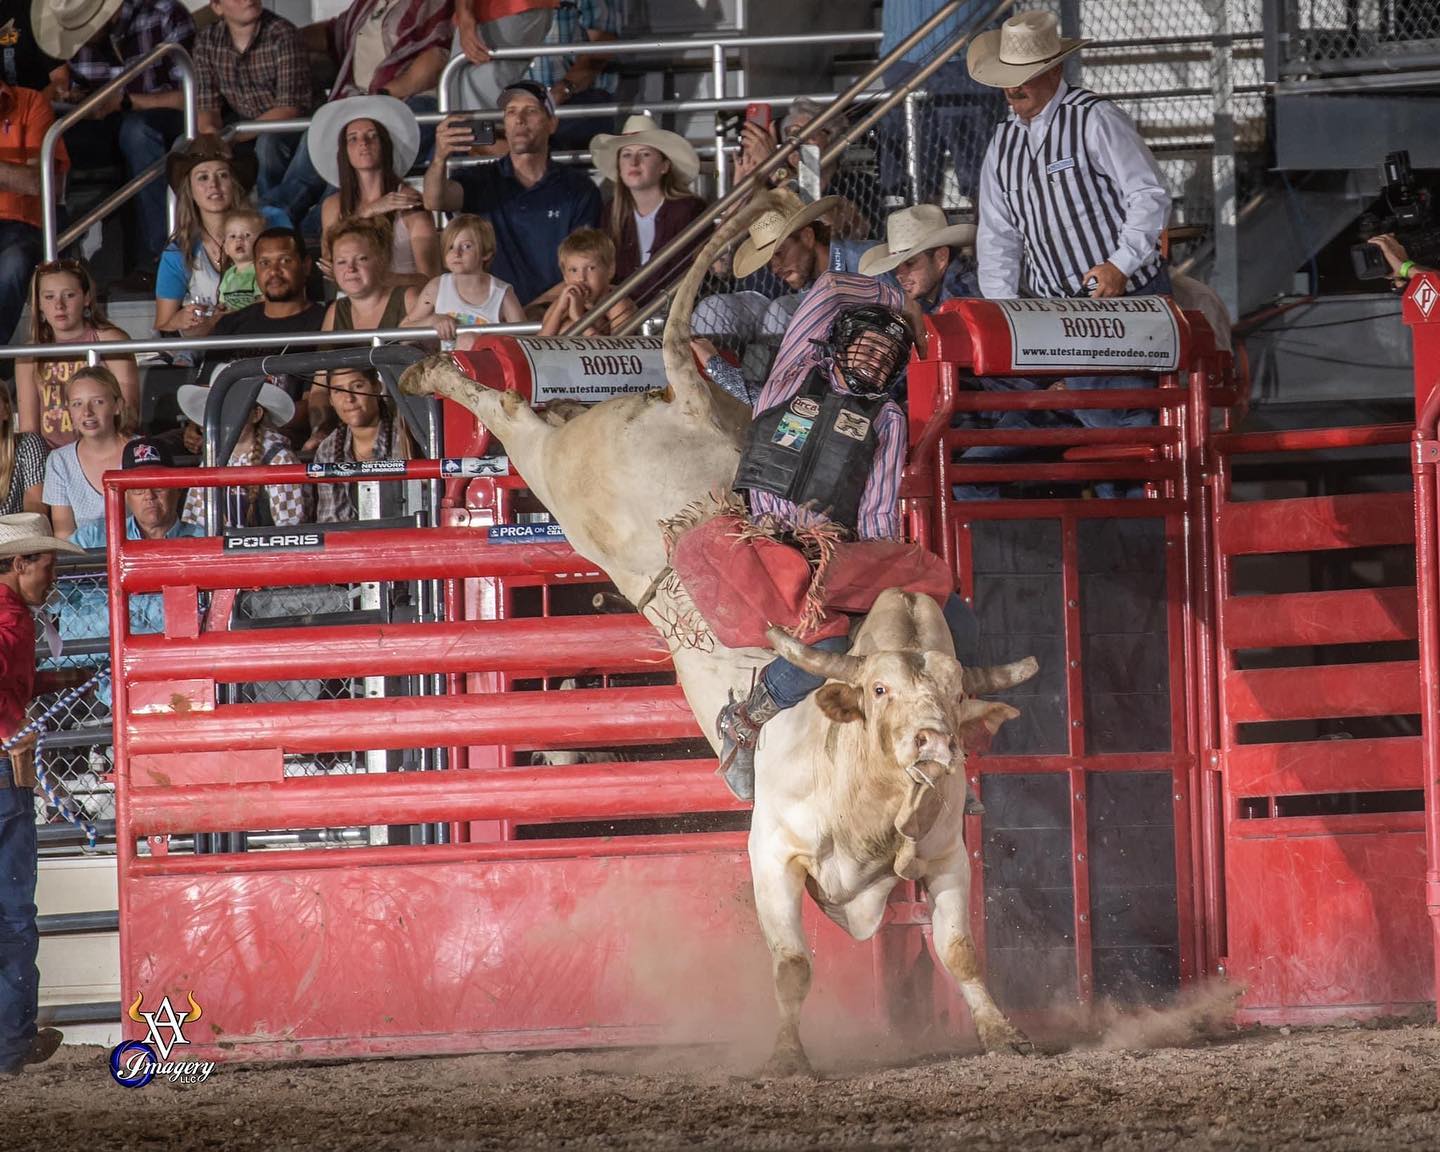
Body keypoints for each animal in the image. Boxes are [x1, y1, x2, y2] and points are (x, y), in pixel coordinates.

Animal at [400, 191, 1036, 1071]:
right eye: (877, 689)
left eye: (949, 690)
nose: (935, 743)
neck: (871, 801)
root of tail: (690, 401)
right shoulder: (770, 854)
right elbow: (793, 963)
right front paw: (788, 1058)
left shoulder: (946, 860)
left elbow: (960, 951)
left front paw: (1004, 1034)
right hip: (562, 471)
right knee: (514, 414)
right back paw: (428, 371)